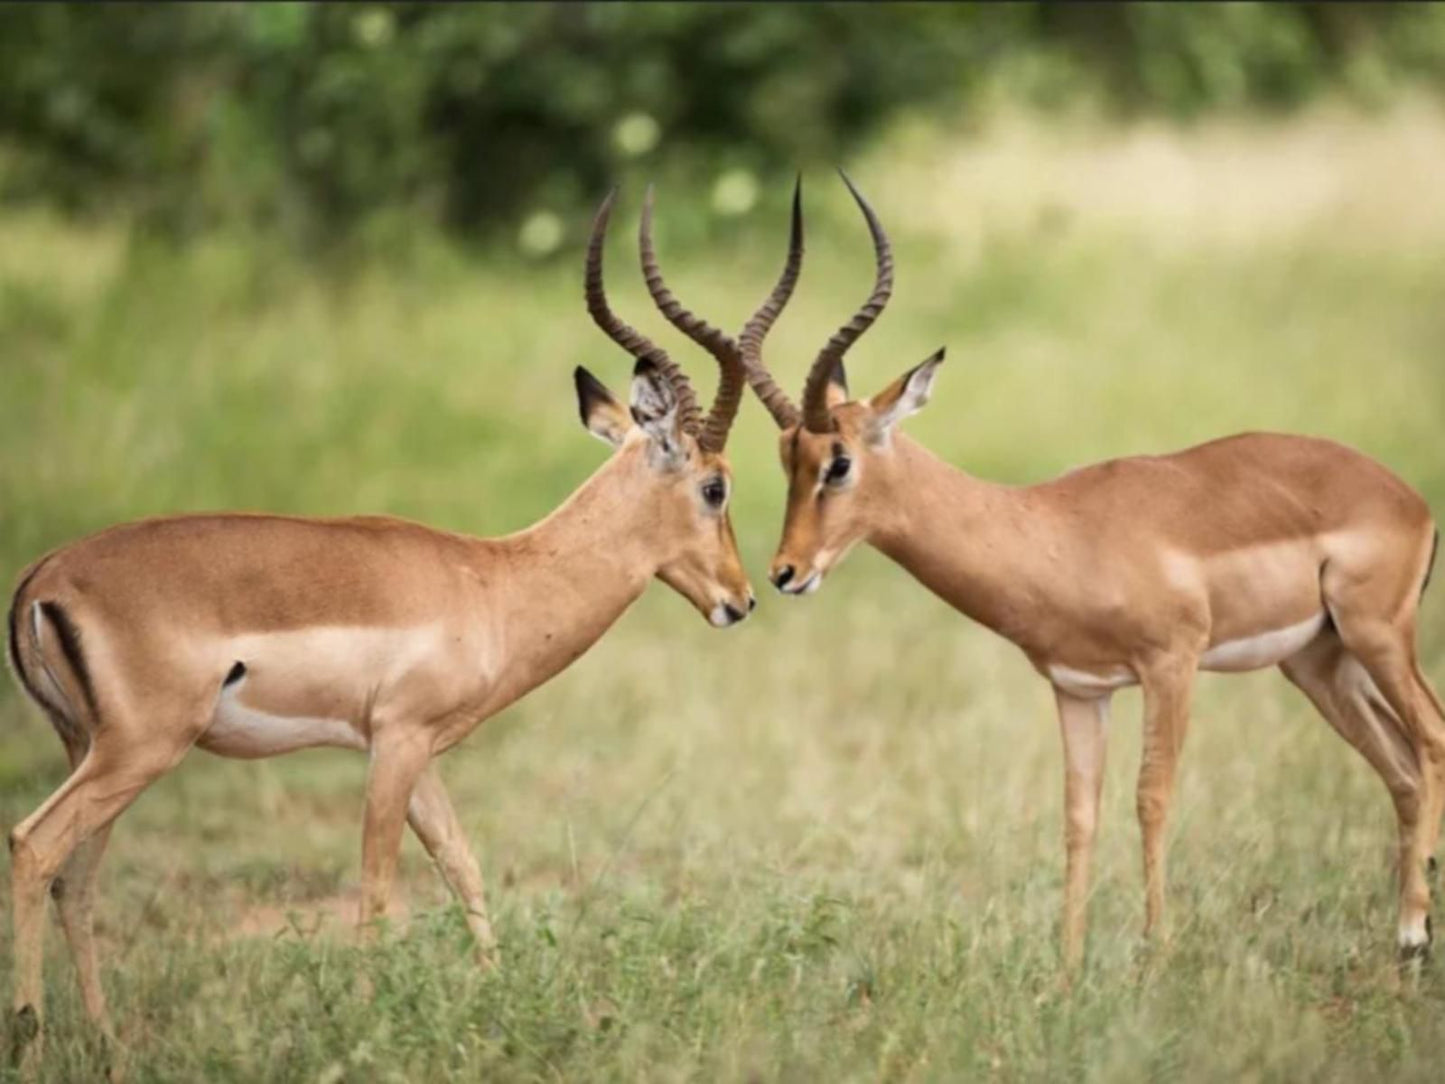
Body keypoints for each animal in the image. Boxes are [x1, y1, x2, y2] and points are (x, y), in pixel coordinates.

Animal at [2, 189, 803, 1063]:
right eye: (715, 487)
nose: (741, 599)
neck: (494, 582)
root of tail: (44, 577)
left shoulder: (423, 754)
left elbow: (464, 866)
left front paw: (495, 1002)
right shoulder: (395, 742)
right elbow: (379, 890)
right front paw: (360, 1023)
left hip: (92, 749)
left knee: (76, 880)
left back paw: (105, 1038)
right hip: (140, 749)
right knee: (33, 846)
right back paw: (32, 1038)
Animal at [745, 174, 1445, 971]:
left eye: (838, 463)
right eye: (785, 458)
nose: (784, 572)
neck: (1057, 533)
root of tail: (1406, 497)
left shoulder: (1170, 665)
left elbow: (1151, 796)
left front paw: (1157, 953)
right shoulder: (1079, 689)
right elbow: (1078, 814)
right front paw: (1066, 970)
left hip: (1375, 634)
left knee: (1431, 737)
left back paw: (1413, 930)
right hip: (1318, 661)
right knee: (1399, 765)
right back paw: (1410, 934)